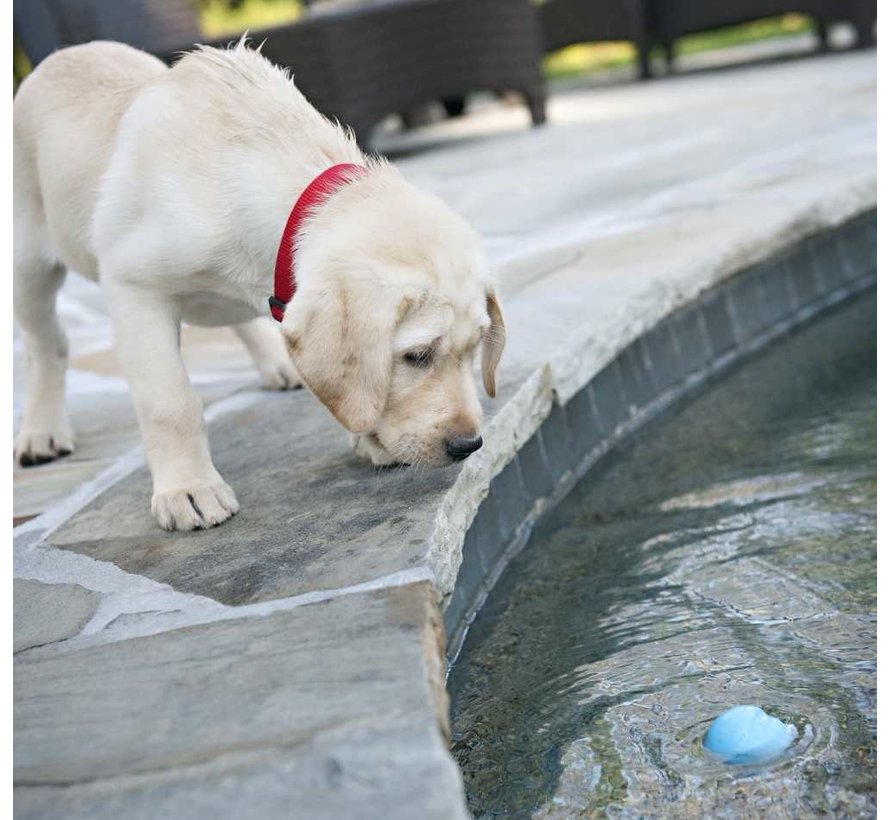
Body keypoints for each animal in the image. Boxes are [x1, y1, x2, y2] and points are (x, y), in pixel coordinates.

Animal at [13, 40, 502, 532]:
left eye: (473, 350)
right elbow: (170, 403)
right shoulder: (134, 287)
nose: (469, 446)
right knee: (46, 345)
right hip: (29, 268)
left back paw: (279, 363)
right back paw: (42, 431)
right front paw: (188, 488)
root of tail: (63, 56)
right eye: (416, 356)